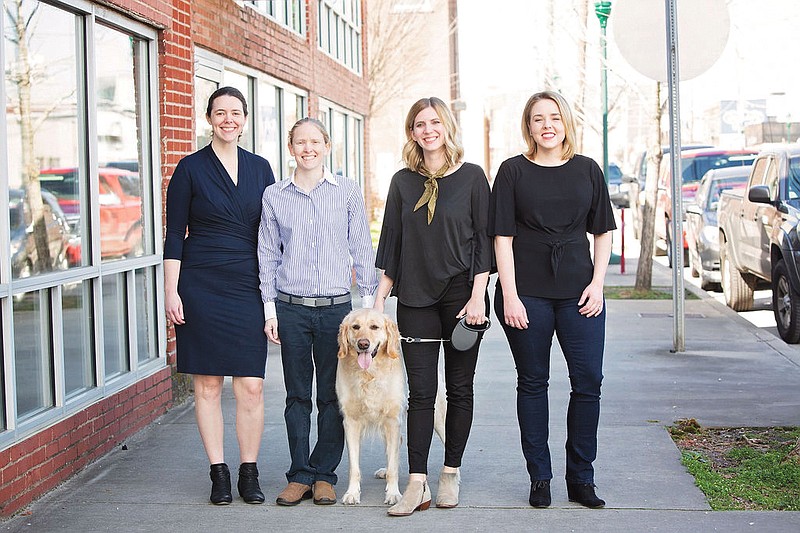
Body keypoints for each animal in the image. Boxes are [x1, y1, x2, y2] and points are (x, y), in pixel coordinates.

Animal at [332, 308, 446, 502]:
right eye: (355, 327)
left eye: (374, 327)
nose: (363, 344)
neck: (369, 375)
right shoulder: (351, 422)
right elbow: (354, 467)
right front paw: (352, 493)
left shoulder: (392, 420)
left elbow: (394, 466)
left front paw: (393, 494)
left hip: (437, 418)